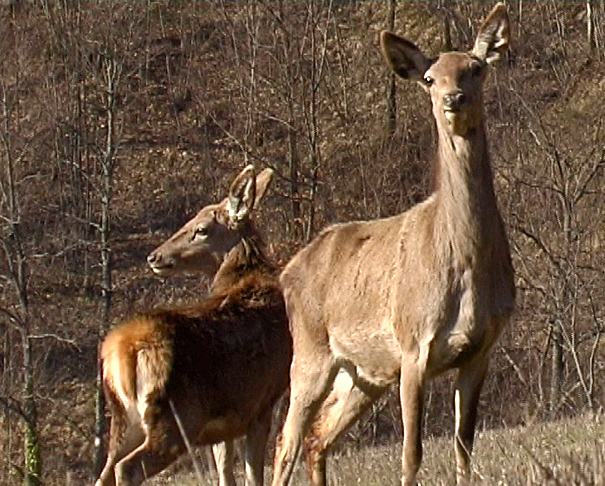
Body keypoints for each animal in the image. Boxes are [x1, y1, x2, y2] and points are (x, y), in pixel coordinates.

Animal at [95, 166, 292, 486]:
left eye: (201, 229)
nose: (154, 256)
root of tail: (122, 351)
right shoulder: (260, 404)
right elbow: (253, 473)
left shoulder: (227, 420)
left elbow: (225, 470)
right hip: (175, 416)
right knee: (127, 467)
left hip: (123, 419)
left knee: (106, 471)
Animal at [274, 4, 516, 486]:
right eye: (430, 78)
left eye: (475, 68)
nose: (453, 98)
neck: (467, 265)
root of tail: (286, 271)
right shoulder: (412, 345)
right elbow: (411, 452)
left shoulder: (481, 348)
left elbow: (464, 448)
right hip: (310, 352)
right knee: (286, 441)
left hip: (362, 374)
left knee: (317, 437)